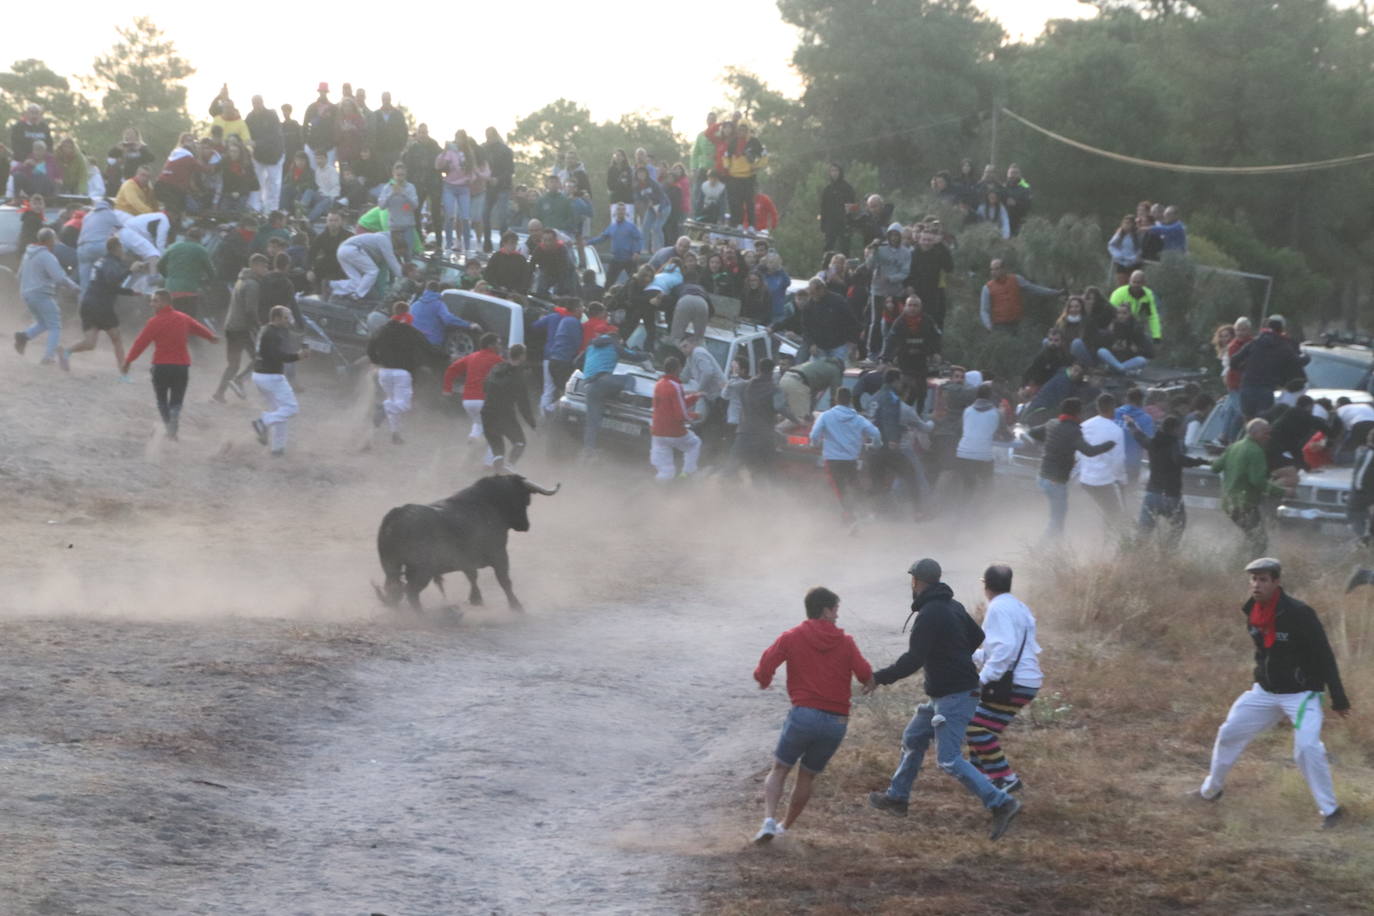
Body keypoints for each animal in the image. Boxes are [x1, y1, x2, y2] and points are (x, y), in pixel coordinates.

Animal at [373, 477, 560, 612]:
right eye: (525, 500)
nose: (525, 526)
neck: (489, 505)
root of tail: (398, 513)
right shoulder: (500, 555)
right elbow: (504, 581)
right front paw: (516, 607)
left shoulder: (467, 560)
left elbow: (472, 576)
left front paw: (476, 600)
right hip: (421, 570)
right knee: (410, 591)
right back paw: (421, 615)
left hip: (391, 566)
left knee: (394, 588)